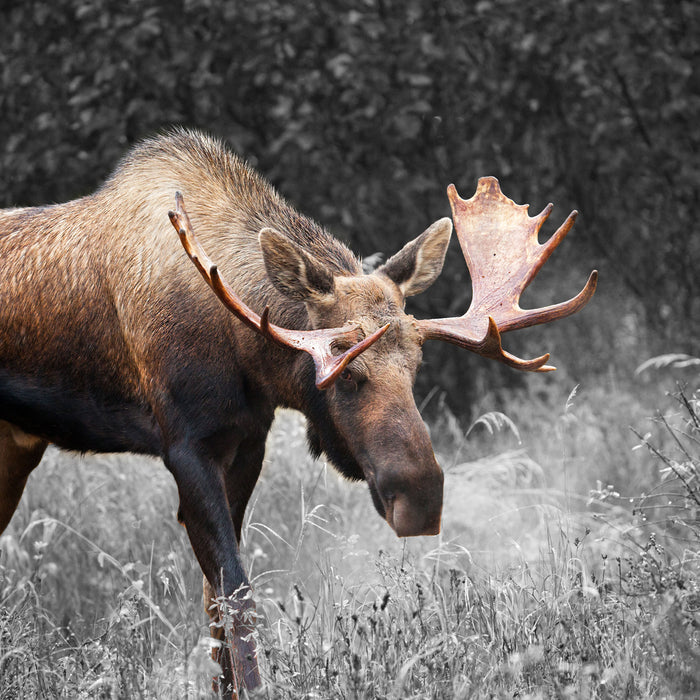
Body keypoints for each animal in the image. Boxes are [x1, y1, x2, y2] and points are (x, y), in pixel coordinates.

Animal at [0, 130, 596, 696]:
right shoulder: (185, 446)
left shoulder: (246, 441)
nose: (423, 497)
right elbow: (236, 591)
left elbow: (214, 601)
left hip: (17, 445)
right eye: (345, 370)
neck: (242, 350)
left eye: (417, 365)